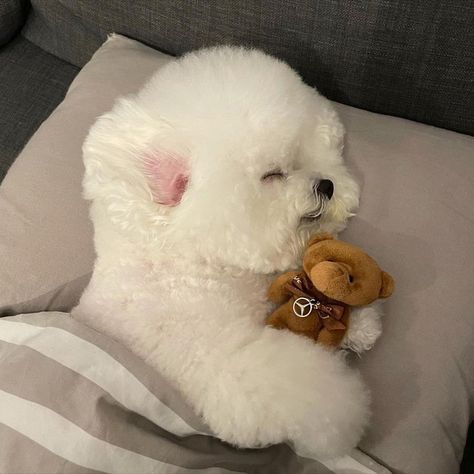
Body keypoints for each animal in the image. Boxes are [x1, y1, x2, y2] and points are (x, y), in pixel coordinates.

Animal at [71, 47, 382, 460]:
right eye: (272, 175)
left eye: (306, 158)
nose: (328, 185)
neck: (193, 267)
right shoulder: (228, 367)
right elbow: (302, 390)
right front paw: (343, 415)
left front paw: (357, 323)